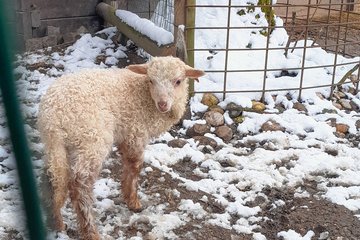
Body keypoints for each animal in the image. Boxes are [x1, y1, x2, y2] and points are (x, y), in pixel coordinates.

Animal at [38, 55, 205, 238]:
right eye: (151, 80)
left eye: (178, 81)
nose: (162, 104)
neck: (144, 96)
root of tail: (53, 117)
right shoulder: (136, 133)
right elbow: (135, 166)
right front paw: (133, 201)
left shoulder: (126, 136)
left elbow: (127, 164)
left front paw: (126, 193)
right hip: (91, 138)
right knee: (79, 184)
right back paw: (90, 232)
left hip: (60, 147)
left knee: (53, 178)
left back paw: (57, 222)